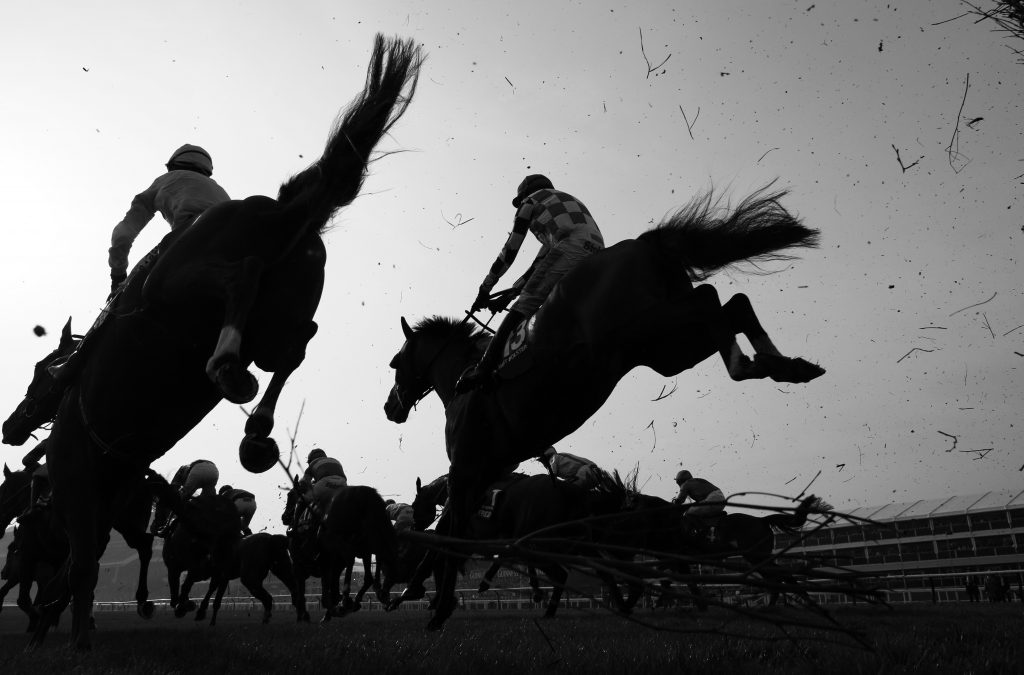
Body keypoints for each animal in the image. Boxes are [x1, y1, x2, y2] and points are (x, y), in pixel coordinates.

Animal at [0, 35, 421, 651]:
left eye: (34, 379)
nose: (11, 428)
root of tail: (279, 211)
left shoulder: (78, 481)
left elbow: (80, 565)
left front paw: (71, 634)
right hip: (288, 304)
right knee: (296, 344)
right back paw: (256, 428)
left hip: (176, 287)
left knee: (241, 277)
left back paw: (226, 369)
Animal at [385, 183, 823, 626]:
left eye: (395, 363)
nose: (390, 407)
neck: (461, 380)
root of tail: (643, 244)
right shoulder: (485, 472)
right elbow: (448, 535)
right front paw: (416, 593)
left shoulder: (466, 470)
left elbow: (447, 536)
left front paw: (434, 604)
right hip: (665, 349)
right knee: (730, 302)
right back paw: (782, 365)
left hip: (645, 330)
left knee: (715, 302)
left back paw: (752, 364)